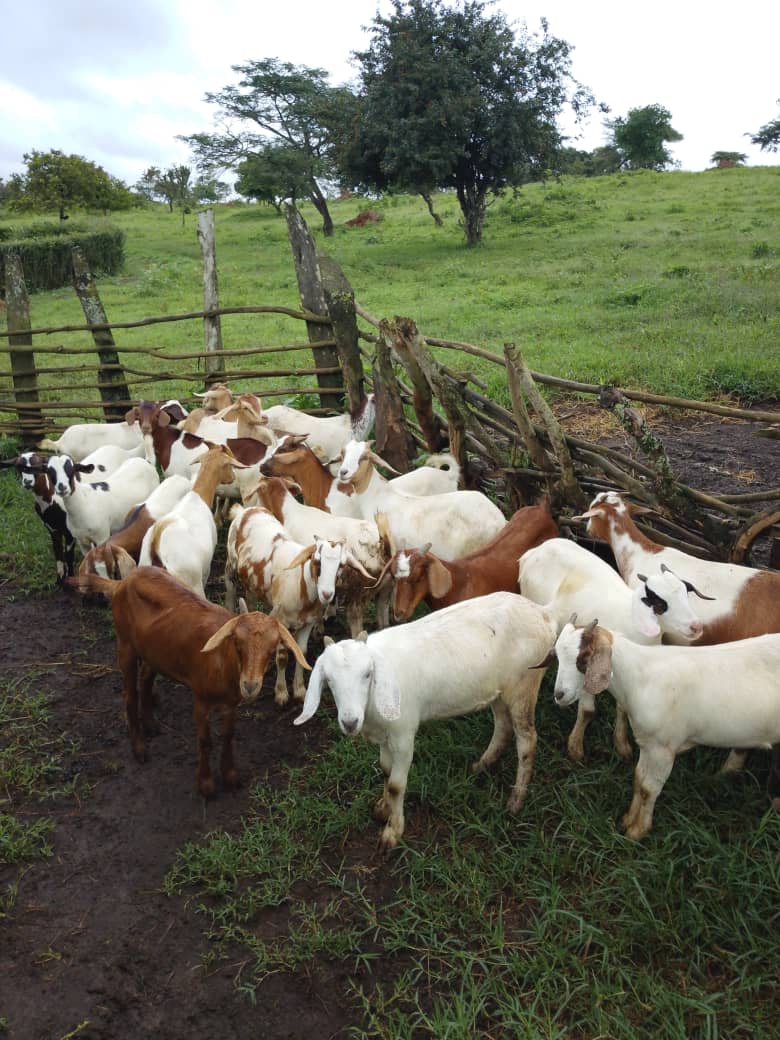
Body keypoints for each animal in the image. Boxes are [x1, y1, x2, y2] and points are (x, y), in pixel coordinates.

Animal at [67, 566, 308, 797]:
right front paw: (206, 785)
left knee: (145, 677)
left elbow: (229, 735)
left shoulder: (230, 703)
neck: (222, 659)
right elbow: (205, 740)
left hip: (155, 649)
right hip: (125, 643)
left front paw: (230, 776)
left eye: (272, 648)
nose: (249, 685)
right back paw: (139, 748)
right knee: (129, 693)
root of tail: (121, 583)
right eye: (237, 643)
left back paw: (151, 724)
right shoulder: (200, 699)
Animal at [294, 592, 558, 849]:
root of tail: (543, 613)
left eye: (368, 673)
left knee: (527, 740)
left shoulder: (403, 734)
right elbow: (385, 770)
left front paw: (393, 832)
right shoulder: (385, 733)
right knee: (502, 725)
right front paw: (383, 809)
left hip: (524, 685)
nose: (350, 722)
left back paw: (516, 800)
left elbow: (396, 784)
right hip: (499, 689)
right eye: (328, 680)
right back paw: (482, 765)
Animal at [519, 537, 709, 762]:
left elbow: (622, 708)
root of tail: (534, 551)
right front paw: (576, 749)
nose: (696, 627)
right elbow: (588, 710)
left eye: (685, 595)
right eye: (661, 603)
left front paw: (622, 745)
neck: (633, 621)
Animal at [550, 618, 780, 838]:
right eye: (557, 656)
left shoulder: (663, 749)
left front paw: (638, 831)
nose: (559, 695)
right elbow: (638, 779)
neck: (639, 677)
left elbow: (648, 789)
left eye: (583, 658)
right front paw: (628, 819)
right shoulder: (647, 744)